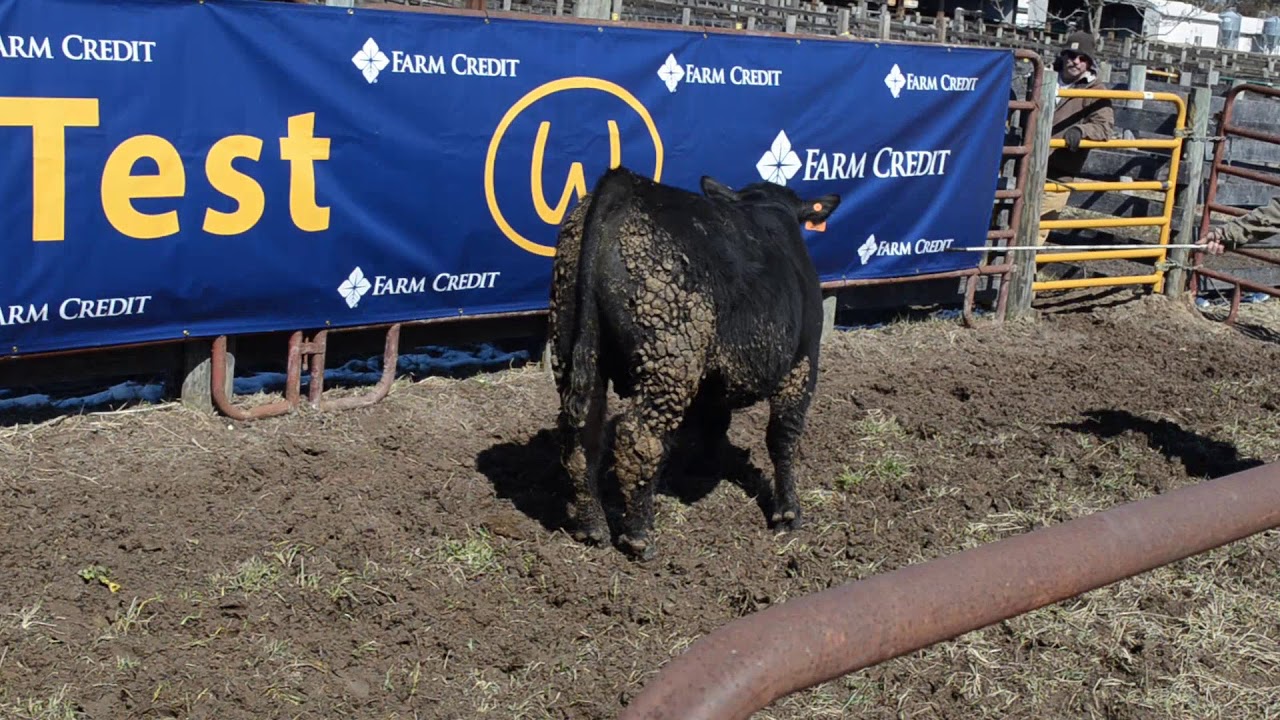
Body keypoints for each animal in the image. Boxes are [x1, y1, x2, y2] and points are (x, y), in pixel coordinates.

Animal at [548, 166, 839, 560]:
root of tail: (624, 183)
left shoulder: (715, 378)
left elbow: (715, 423)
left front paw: (704, 468)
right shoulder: (803, 361)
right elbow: (783, 437)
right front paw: (788, 512)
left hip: (572, 345)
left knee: (581, 436)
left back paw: (591, 527)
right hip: (670, 360)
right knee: (637, 437)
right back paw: (640, 536)